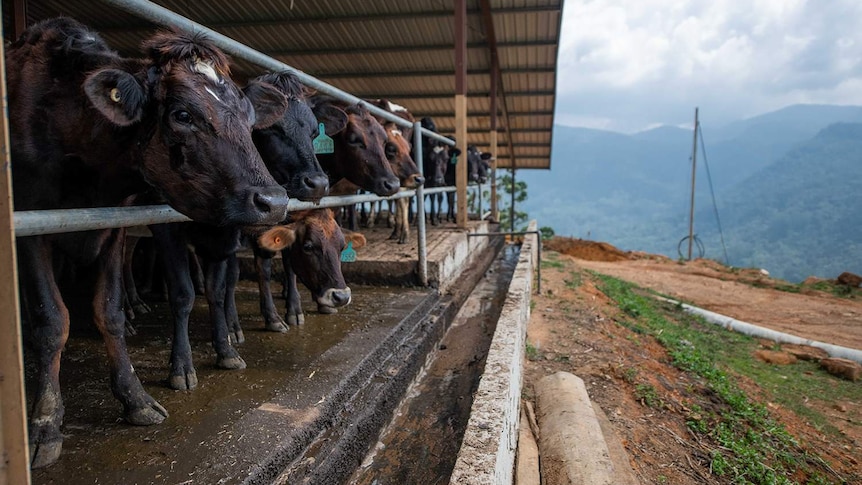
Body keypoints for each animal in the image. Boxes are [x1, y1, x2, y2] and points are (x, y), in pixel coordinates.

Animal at [7, 17, 290, 466]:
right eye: (182, 114)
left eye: (249, 121)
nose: (274, 201)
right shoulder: (33, 225)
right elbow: (51, 319)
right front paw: (44, 424)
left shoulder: (113, 225)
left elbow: (109, 311)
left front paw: (134, 397)